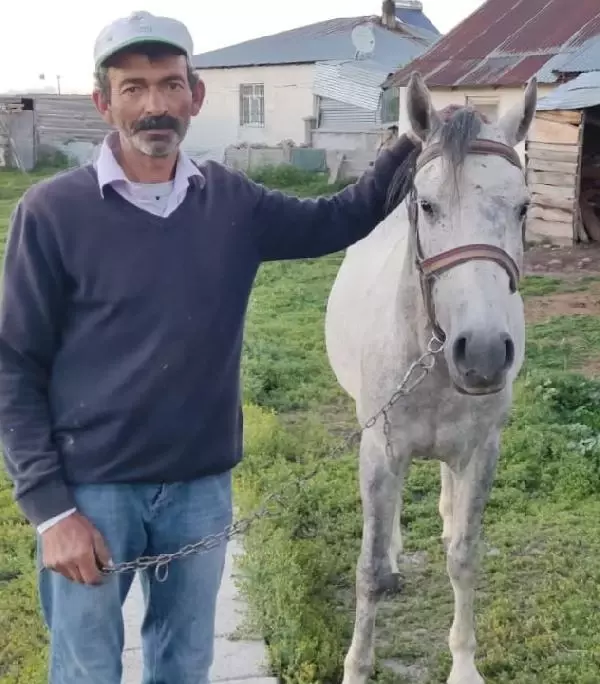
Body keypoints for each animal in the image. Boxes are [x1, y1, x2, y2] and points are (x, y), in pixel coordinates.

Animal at [326, 71, 536, 684]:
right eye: (427, 204)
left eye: (523, 207)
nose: (483, 352)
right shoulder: (380, 450)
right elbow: (369, 570)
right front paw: (357, 667)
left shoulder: (482, 450)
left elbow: (464, 557)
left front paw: (464, 664)